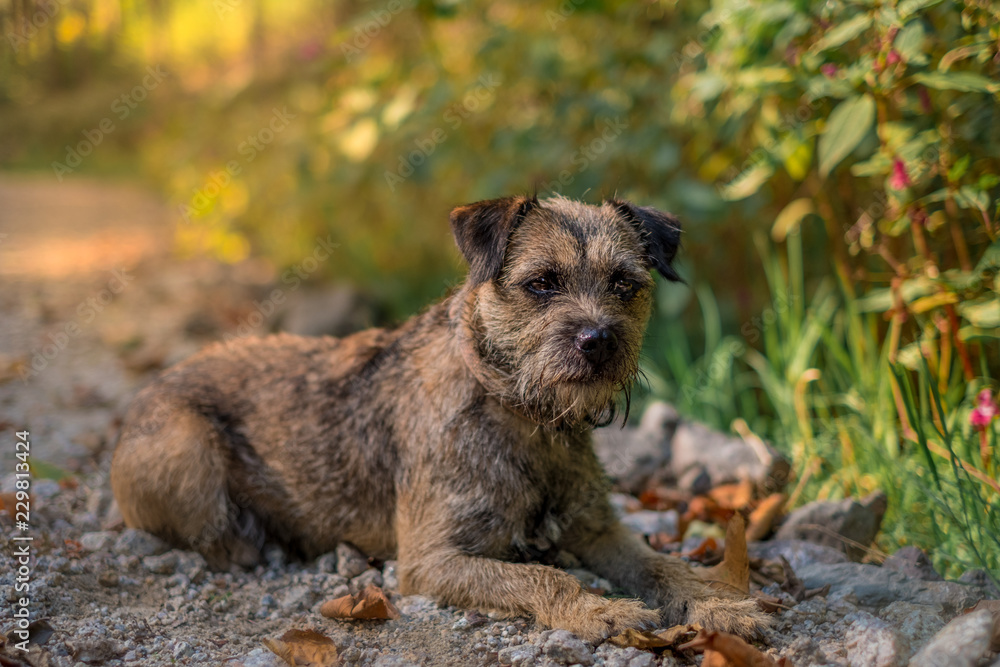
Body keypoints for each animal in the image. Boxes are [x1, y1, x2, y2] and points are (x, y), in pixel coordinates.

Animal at [111, 196, 764, 644]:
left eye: (625, 283)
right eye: (541, 283)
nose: (598, 340)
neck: (522, 415)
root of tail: (151, 386)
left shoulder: (600, 529)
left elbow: (661, 563)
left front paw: (716, 603)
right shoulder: (431, 560)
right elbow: (543, 577)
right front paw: (596, 608)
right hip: (186, 448)